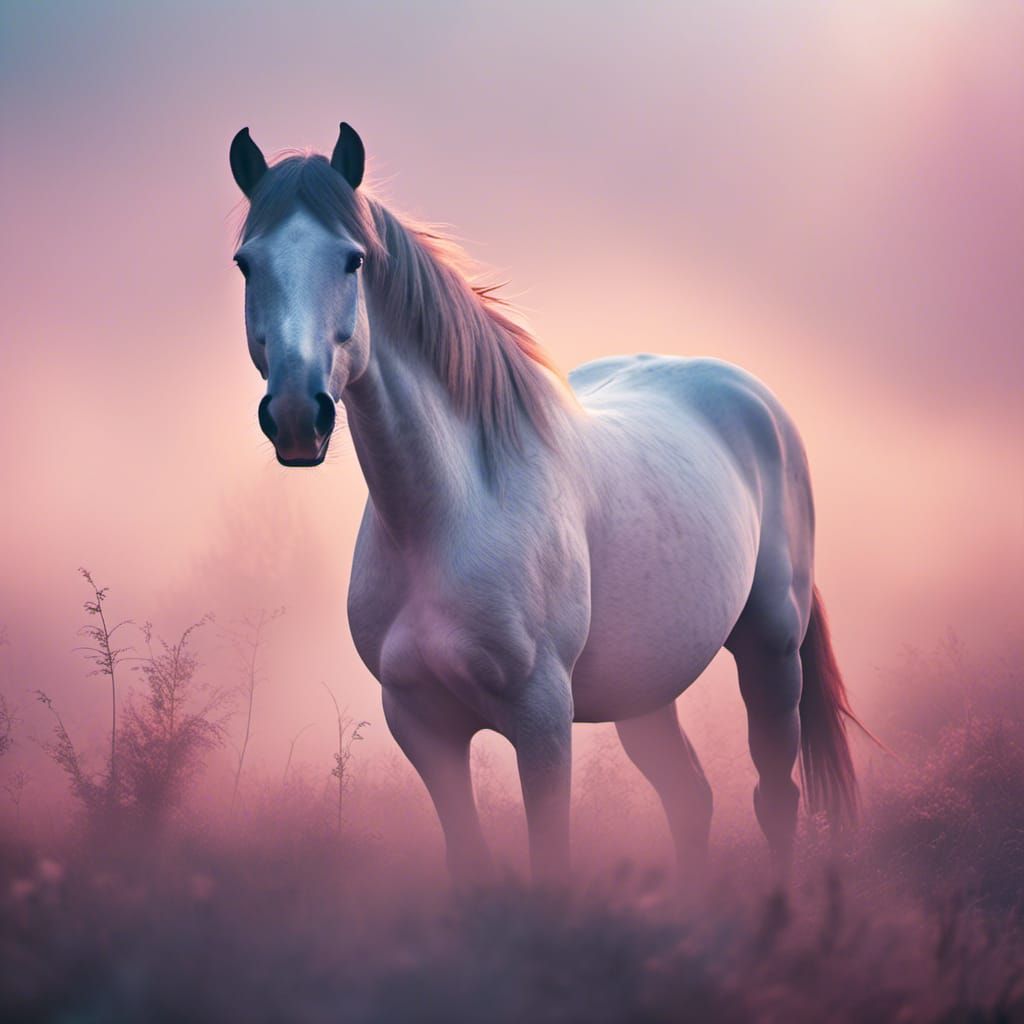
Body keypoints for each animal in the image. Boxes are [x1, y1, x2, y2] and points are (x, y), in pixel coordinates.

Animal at [228, 122, 861, 886]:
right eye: (246, 264)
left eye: (353, 260)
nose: (298, 415)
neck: (449, 518)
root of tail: (754, 401)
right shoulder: (422, 727)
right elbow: (470, 864)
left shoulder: (542, 720)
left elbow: (551, 860)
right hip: (645, 691)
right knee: (691, 798)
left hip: (770, 649)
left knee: (775, 798)